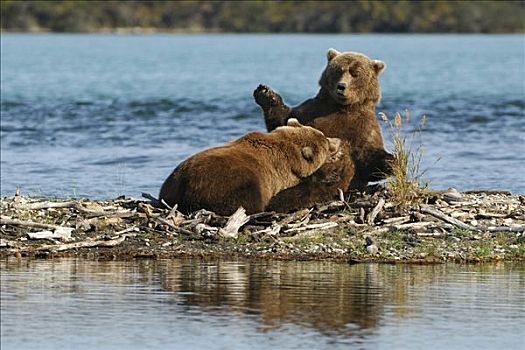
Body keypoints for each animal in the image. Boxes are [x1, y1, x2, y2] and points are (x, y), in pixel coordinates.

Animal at [158, 118, 342, 216]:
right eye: (326, 142)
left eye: (324, 135)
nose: (338, 140)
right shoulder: (284, 175)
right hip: (229, 183)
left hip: (171, 186)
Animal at [254, 47, 392, 190]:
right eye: (339, 70)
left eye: (356, 73)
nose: (341, 86)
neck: (341, 107)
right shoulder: (312, 110)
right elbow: (284, 122)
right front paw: (265, 93)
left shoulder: (364, 128)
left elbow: (369, 158)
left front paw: (390, 161)